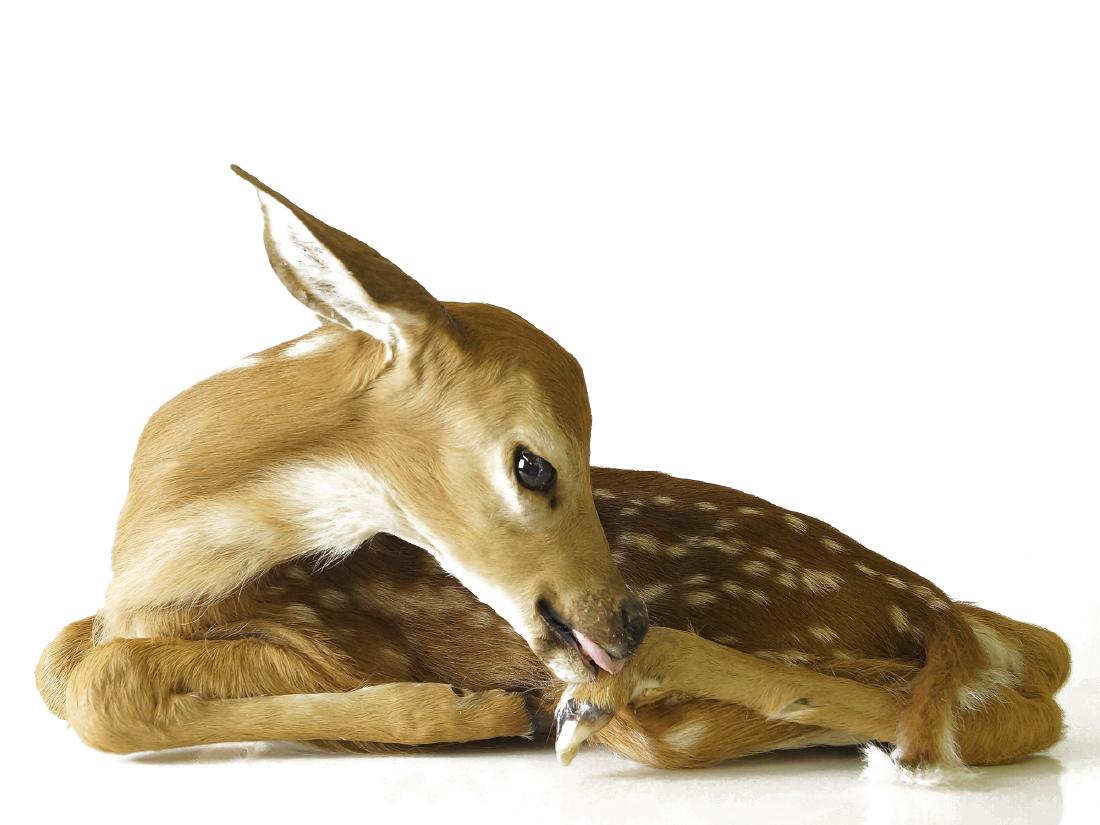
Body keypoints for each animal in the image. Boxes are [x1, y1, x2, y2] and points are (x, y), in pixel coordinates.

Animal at [36, 168, 1070, 778]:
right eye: (532, 463)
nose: (627, 619)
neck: (151, 564)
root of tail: (940, 603)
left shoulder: (339, 634)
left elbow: (98, 687)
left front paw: (464, 708)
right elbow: (62, 667)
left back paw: (592, 699)